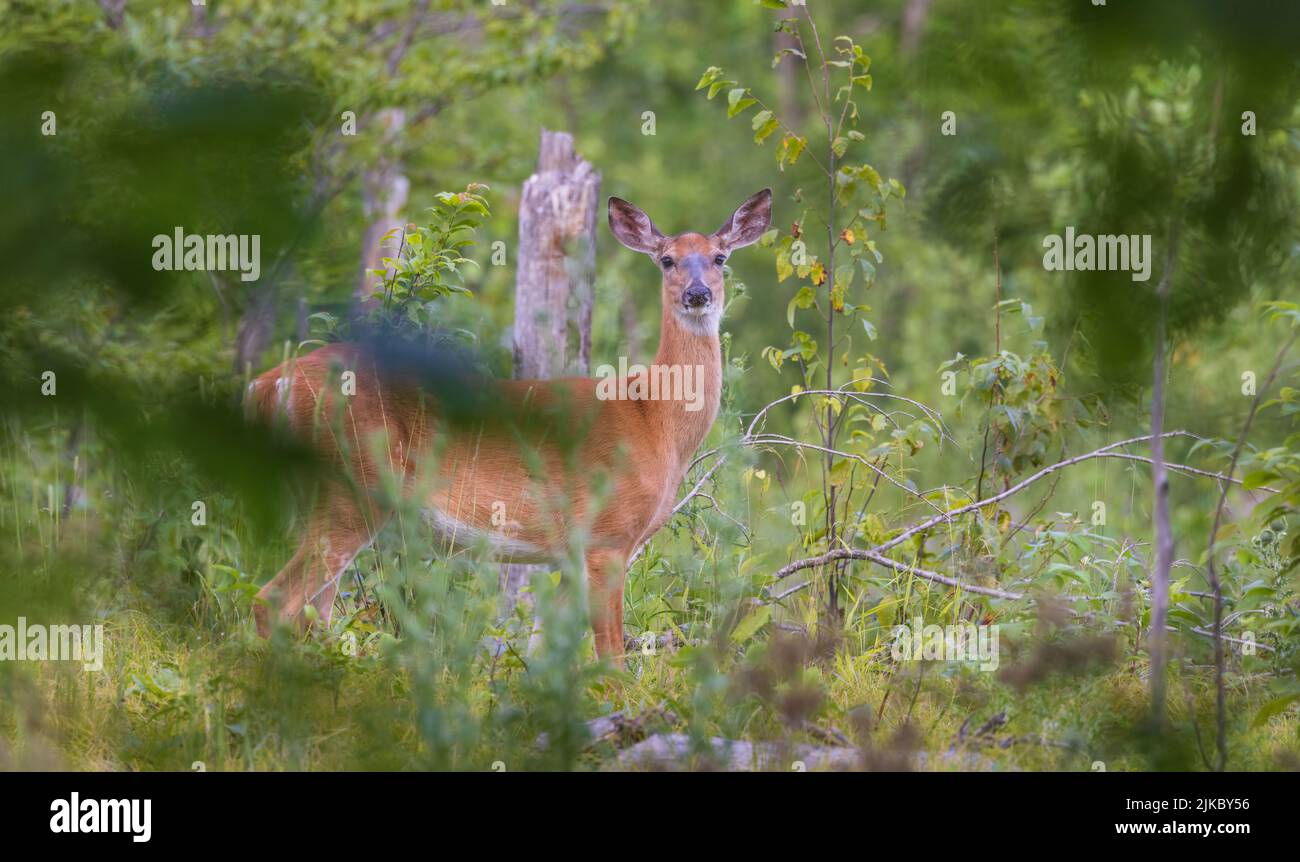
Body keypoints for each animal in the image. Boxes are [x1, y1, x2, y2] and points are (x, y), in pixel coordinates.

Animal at [248, 188, 764, 663]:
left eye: (720, 258)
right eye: (666, 260)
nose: (697, 294)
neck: (652, 415)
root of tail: (270, 383)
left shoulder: (570, 554)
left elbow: (543, 654)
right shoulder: (607, 535)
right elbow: (611, 657)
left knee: (315, 615)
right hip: (352, 489)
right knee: (272, 600)